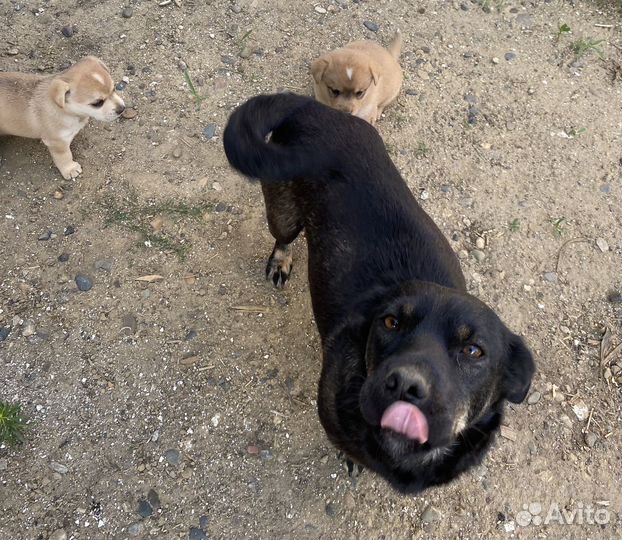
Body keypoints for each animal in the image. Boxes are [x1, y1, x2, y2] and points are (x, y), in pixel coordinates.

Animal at [224, 94, 536, 494]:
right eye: (390, 323)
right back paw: (281, 260)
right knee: (282, 236)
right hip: (283, 210)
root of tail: (311, 106)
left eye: (473, 351)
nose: (405, 385)